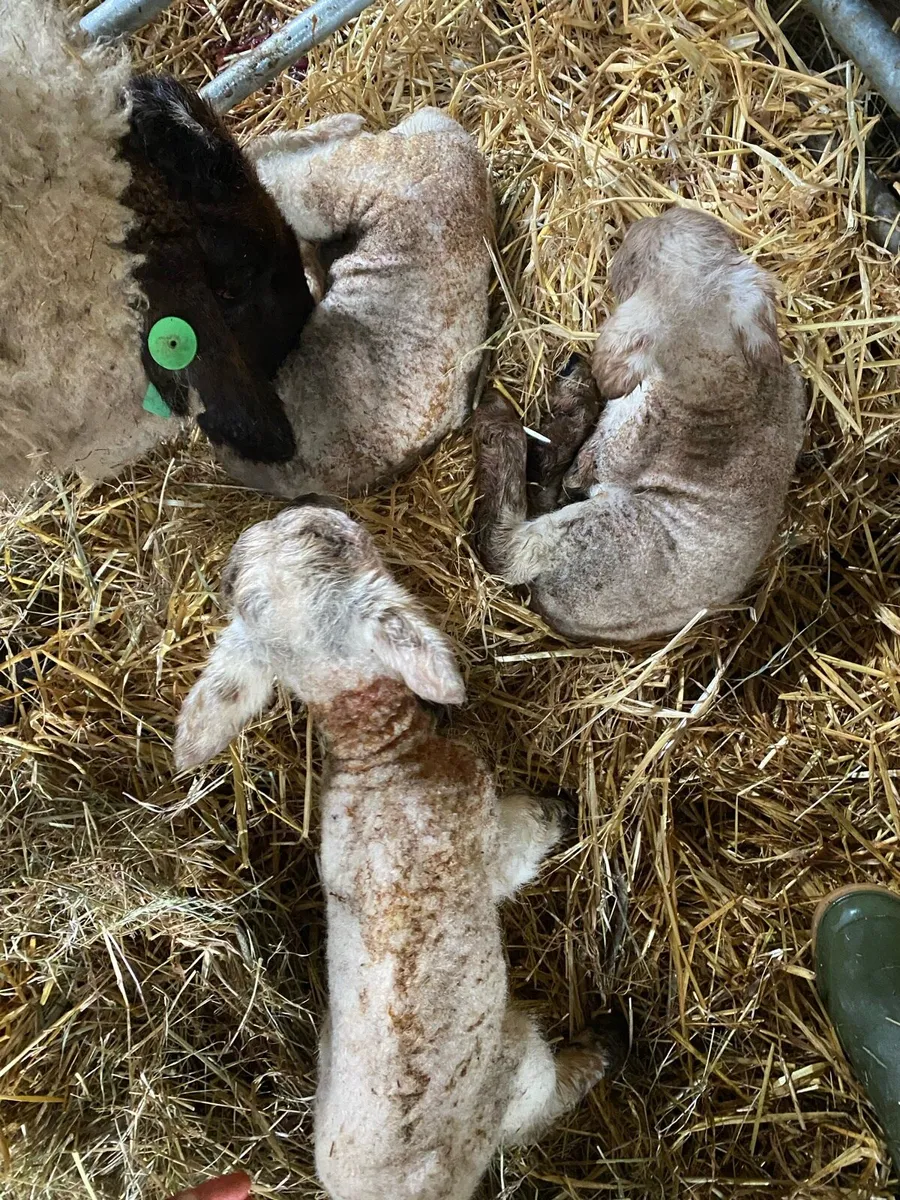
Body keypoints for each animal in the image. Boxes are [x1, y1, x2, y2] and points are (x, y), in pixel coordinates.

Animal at [175, 502, 628, 1200]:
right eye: (327, 539)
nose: (323, 506)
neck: (375, 749)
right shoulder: (486, 832)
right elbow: (524, 842)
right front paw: (560, 810)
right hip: (517, 1061)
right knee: (541, 1104)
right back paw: (603, 1045)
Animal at [472, 207, 807, 642]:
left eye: (629, 265)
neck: (720, 381)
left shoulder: (620, 447)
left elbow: (584, 469)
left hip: (598, 537)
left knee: (507, 548)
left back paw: (501, 423)